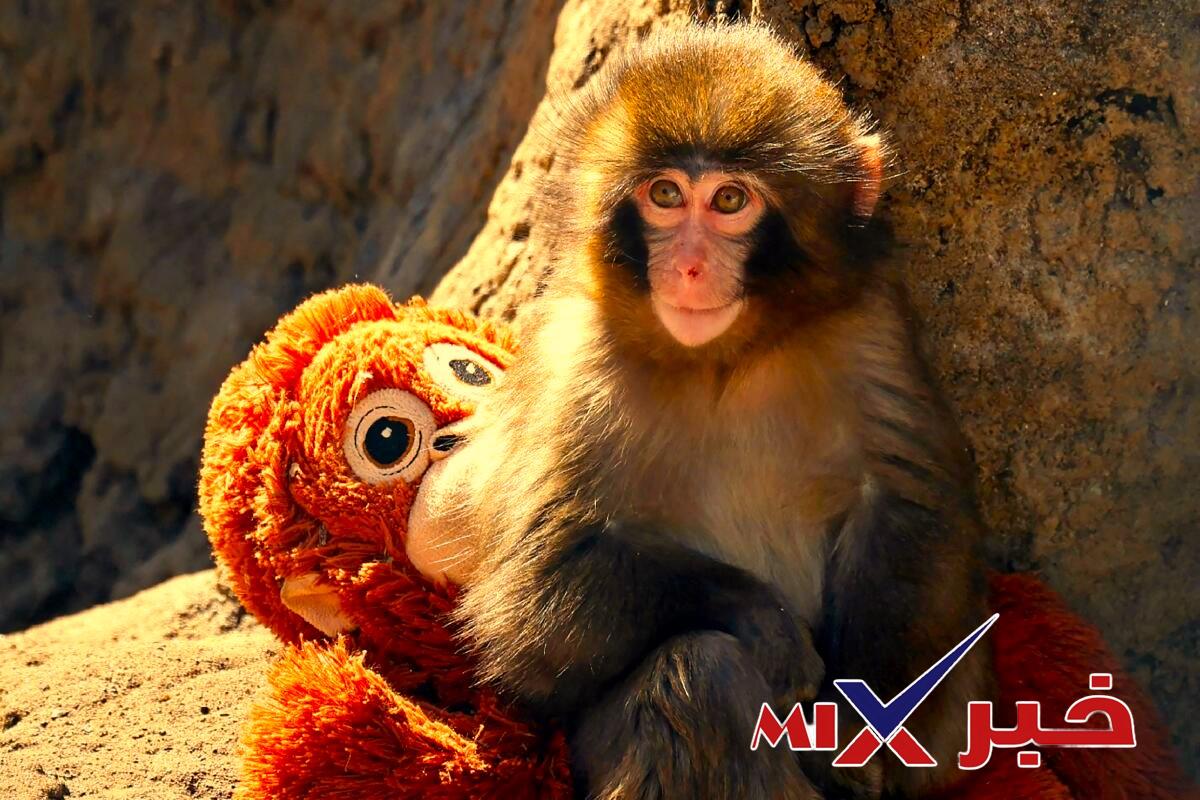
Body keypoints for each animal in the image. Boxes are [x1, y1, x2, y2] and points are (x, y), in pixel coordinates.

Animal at [424, 22, 994, 800]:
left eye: (728, 202)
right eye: (666, 194)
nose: (690, 267)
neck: (725, 357)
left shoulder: (869, 324)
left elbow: (909, 509)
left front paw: (855, 721)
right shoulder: (576, 360)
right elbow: (536, 594)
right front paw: (764, 621)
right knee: (700, 673)